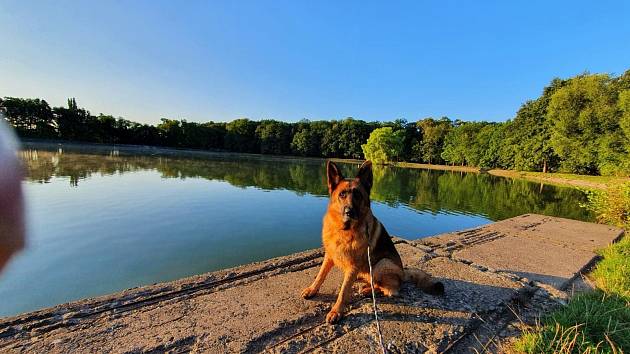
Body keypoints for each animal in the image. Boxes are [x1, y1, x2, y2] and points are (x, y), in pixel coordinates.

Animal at [302, 160, 444, 324]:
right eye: (342, 194)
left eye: (358, 195)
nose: (349, 212)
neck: (344, 230)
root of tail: (403, 273)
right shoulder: (329, 256)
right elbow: (320, 275)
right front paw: (312, 290)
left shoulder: (353, 266)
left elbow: (343, 291)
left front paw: (336, 311)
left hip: (382, 264)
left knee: (390, 290)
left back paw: (368, 290)